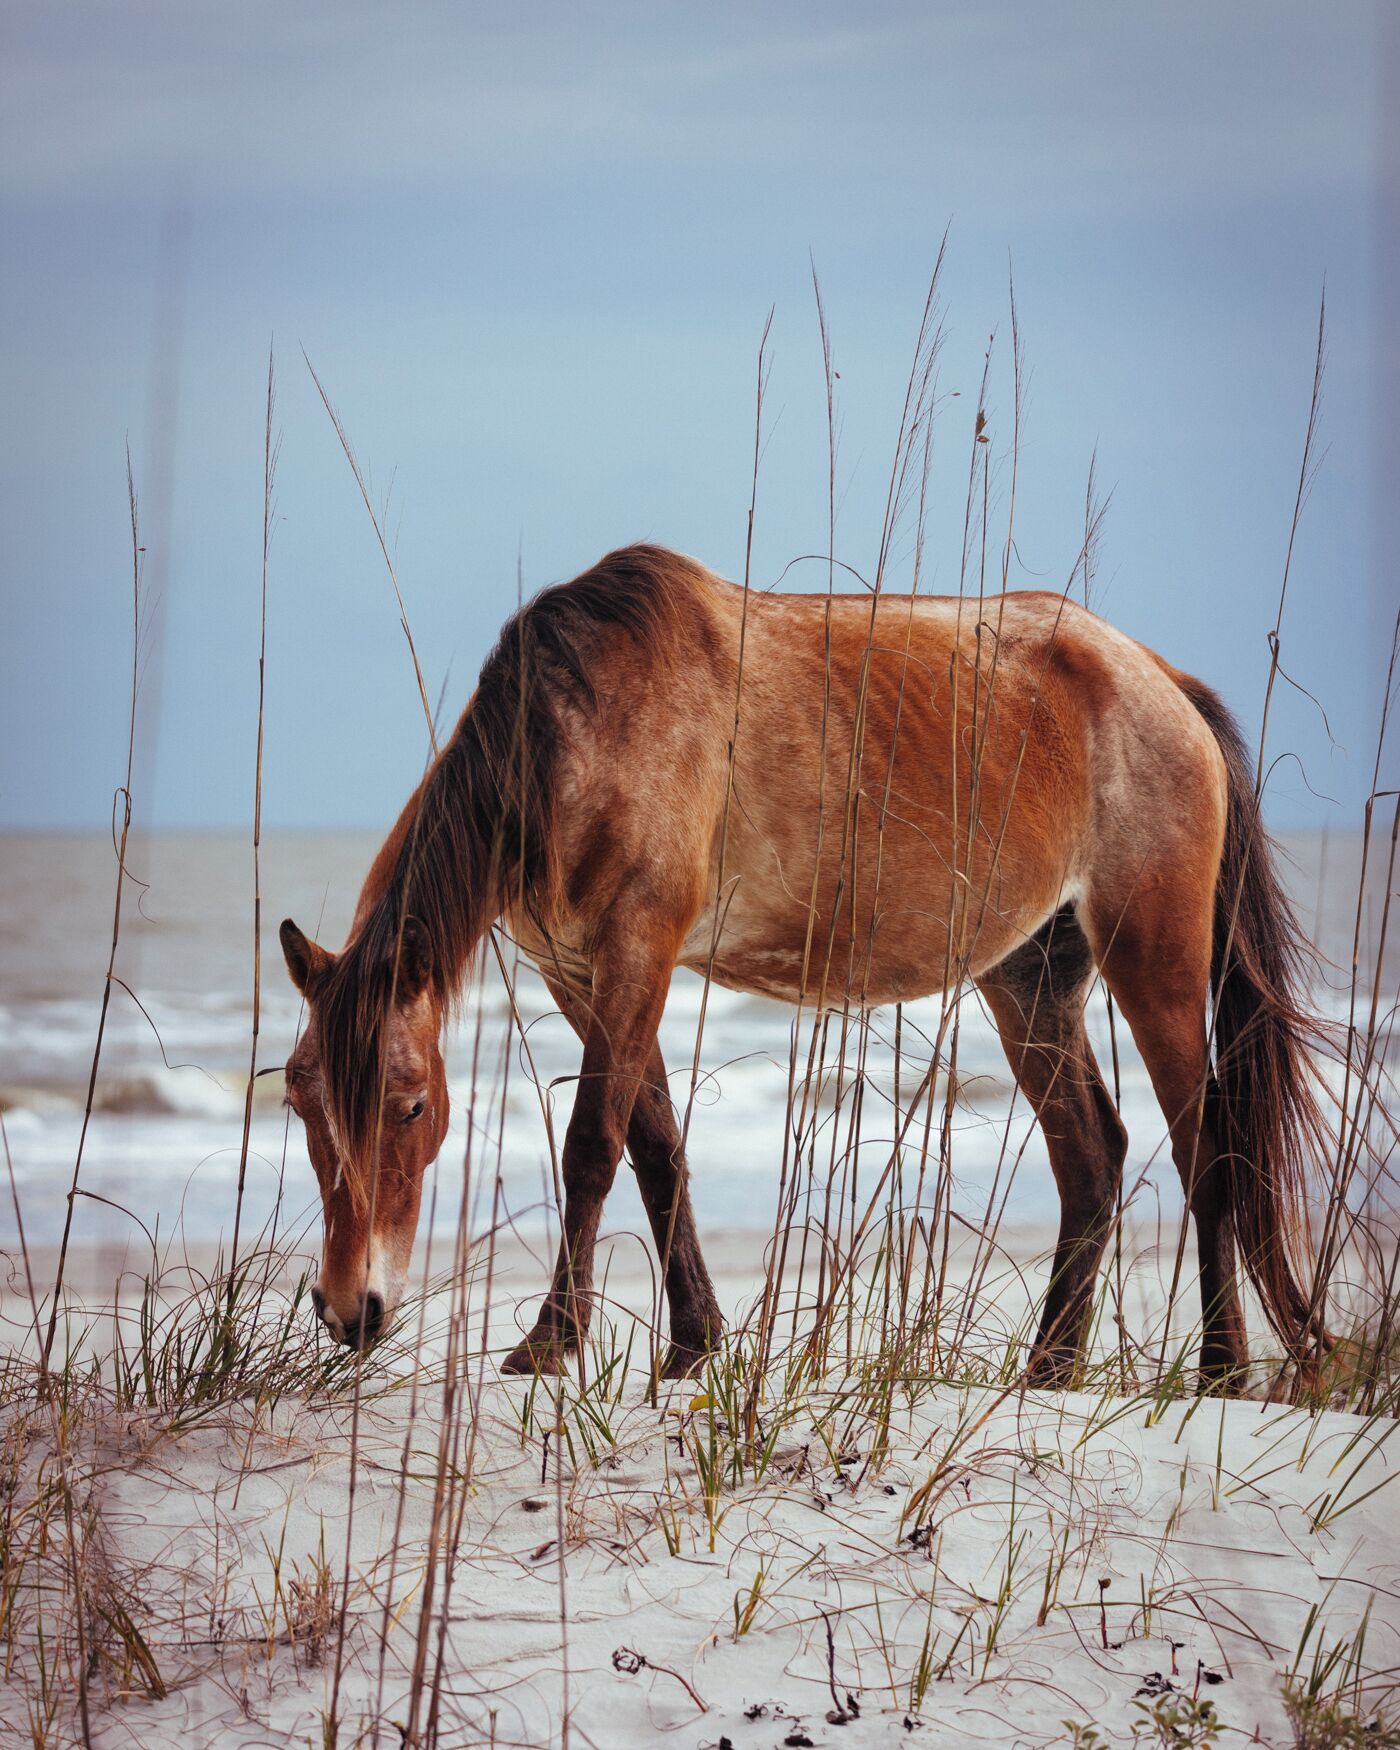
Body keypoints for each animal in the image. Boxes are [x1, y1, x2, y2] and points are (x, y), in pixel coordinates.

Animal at [279, 543, 1324, 1385]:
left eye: (411, 1107)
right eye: (301, 1104)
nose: (350, 1310)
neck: (577, 734)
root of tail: (1158, 679)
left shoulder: (636, 949)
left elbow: (592, 1147)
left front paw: (549, 1342)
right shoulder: (584, 975)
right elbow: (656, 1150)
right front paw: (694, 1344)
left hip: (1156, 960)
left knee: (1208, 1153)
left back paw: (1222, 1368)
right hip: (1030, 977)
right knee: (1092, 1155)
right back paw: (1052, 1368)